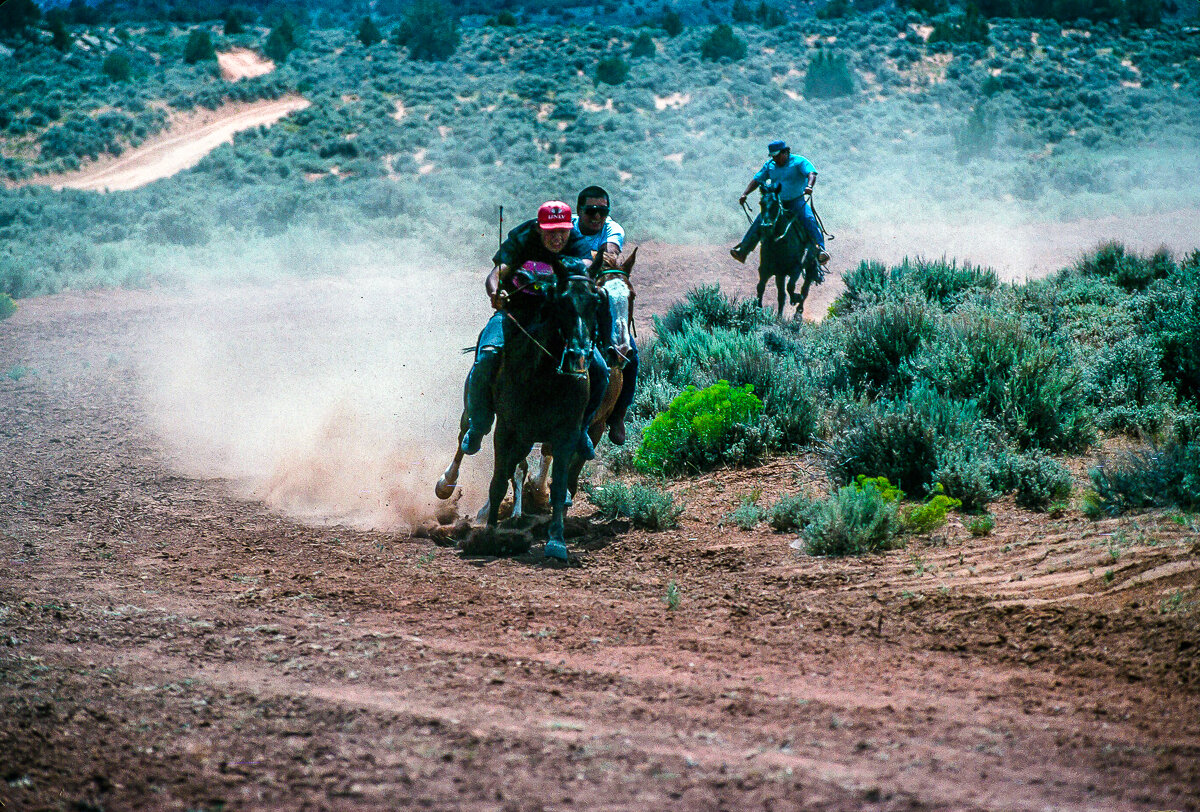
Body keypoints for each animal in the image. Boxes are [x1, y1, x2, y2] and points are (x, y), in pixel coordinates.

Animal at [758, 182, 825, 319]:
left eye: (775, 203)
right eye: (761, 203)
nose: (765, 227)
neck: (779, 243)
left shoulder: (796, 268)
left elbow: (791, 287)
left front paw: (796, 298)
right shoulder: (768, 269)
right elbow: (761, 287)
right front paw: (757, 309)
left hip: (810, 267)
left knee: (805, 289)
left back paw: (798, 314)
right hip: (781, 274)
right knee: (782, 295)